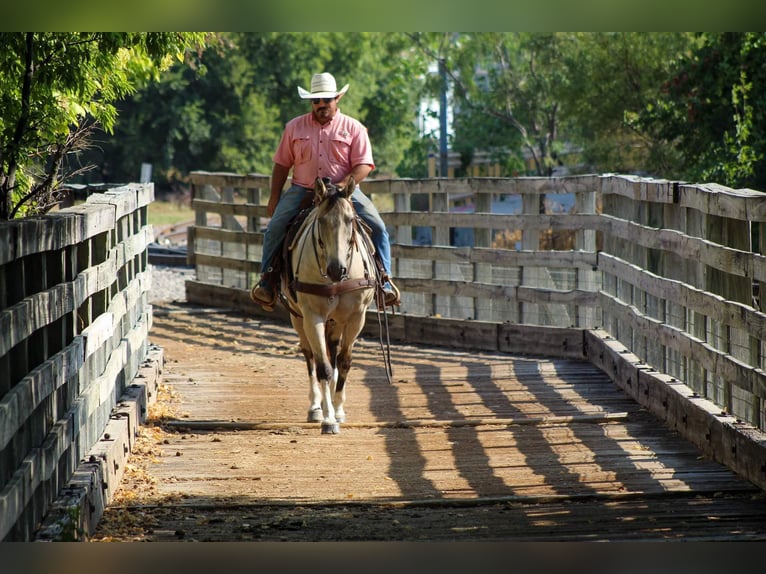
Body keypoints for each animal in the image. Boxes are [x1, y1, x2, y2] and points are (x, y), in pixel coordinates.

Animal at [281, 176, 378, 434]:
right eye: (321, 220)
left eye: (351, 220)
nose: (337, 269)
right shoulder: (312, 316)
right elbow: (322, 366)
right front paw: (328, 419)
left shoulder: (357, 317)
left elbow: (343, 361)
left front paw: (338, 409)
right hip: (298, 318)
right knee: (310, 356)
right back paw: (317, 407)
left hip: (335, 322)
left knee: (332, 352)